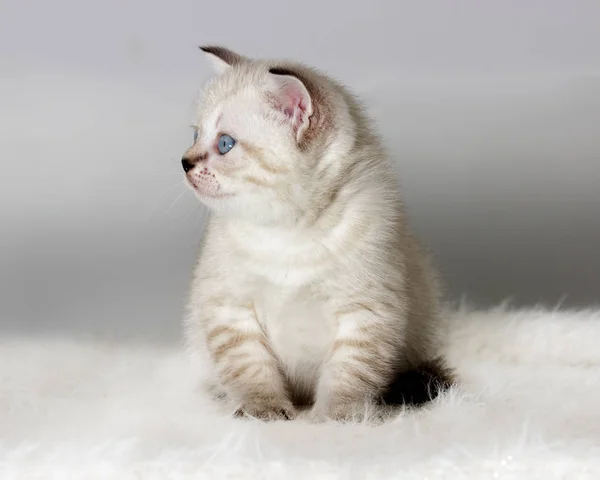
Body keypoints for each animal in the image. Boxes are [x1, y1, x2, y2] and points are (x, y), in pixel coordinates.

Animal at [180, 45, 452, 420]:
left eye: (224, 144)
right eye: (195, 135)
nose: (184, 162)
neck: (288, 230)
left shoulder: (365, 312)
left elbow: (348, 373)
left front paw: (336, 419)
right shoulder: (230, 307)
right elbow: (251, 369)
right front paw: (263, 410)